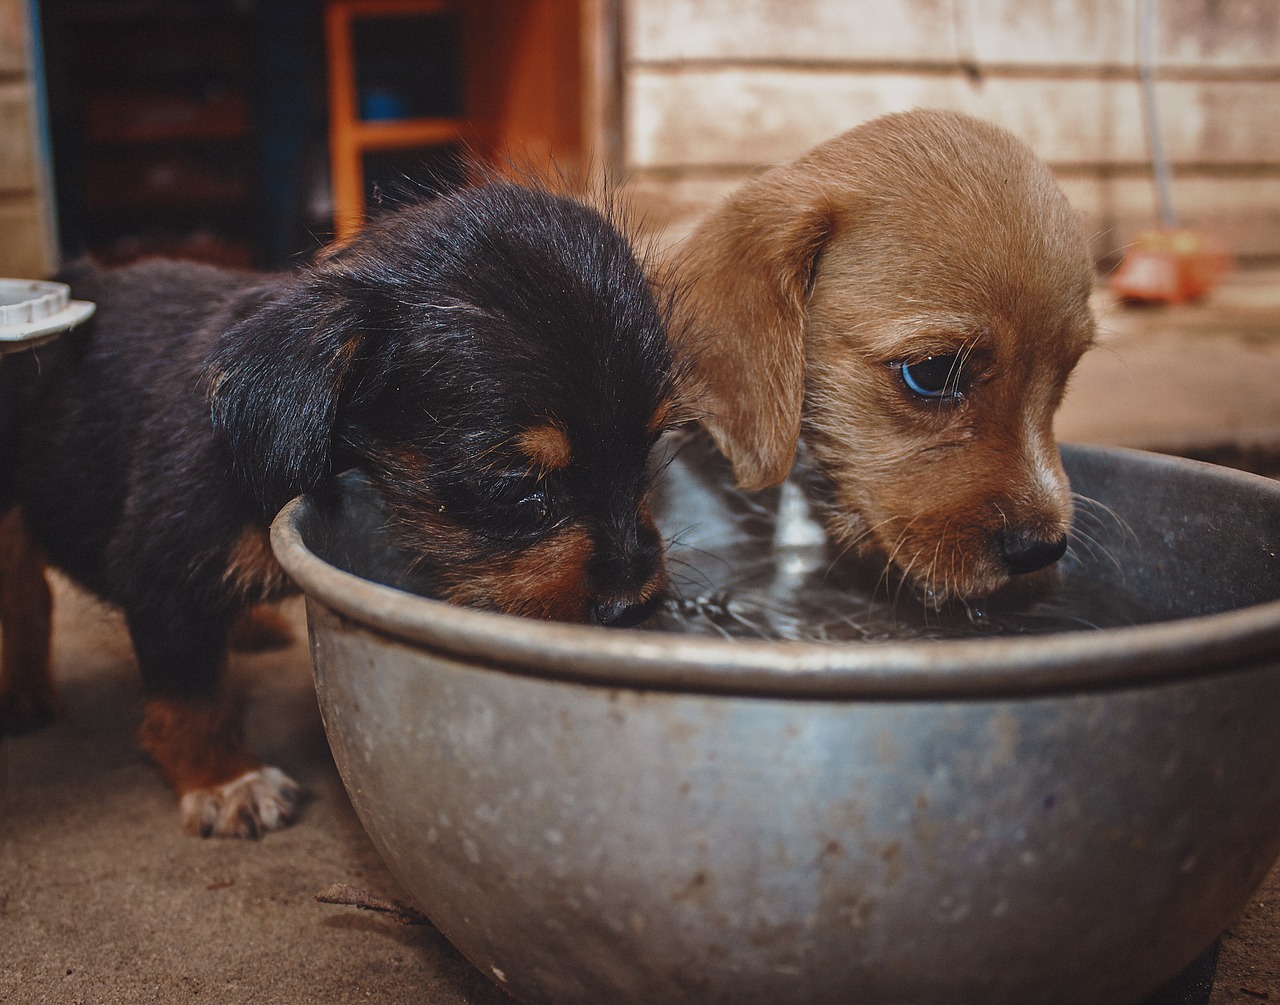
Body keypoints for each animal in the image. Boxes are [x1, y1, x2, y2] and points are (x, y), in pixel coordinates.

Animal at [0, 181, 686, 839]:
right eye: (516, 484)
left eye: (649, 449)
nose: (635, 606)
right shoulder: (162, 574)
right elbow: (191, 698)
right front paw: (224, 780)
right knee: (27, 592)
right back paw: (24, 692)